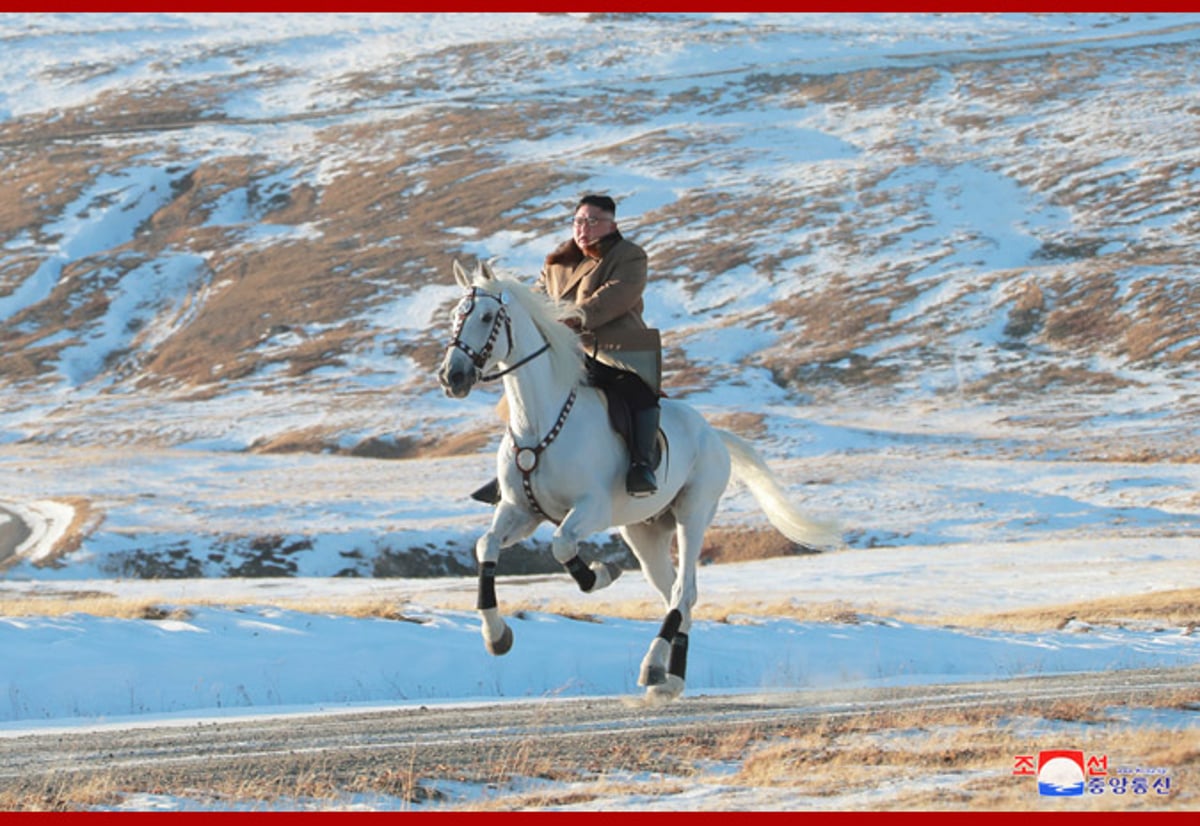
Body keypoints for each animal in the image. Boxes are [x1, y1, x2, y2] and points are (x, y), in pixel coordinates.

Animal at [436, 261, 840, 701]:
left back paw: (652, 667)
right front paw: (496, 636)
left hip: (693, 514)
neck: (539, 421)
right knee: (676, 596)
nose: (452, 376)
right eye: (455, 316)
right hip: (644, 532)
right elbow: (486, 545)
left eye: (486, 317)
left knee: (683, 591)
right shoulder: (520, 511)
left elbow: (562, 544)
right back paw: (670, 678)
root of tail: (713, 433)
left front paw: (600, 574)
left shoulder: (591, 509)